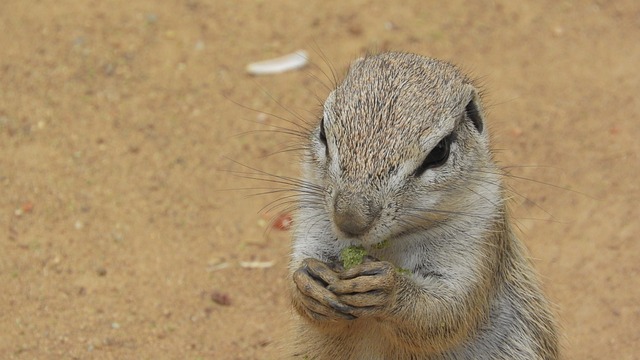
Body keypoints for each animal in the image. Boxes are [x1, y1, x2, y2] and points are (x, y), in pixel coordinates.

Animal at [288, 52, 556, 358]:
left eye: (439, 151)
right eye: (323, 129)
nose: (350, 221)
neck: (386, 244)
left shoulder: (479, 237)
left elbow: (446, 311)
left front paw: (387, 288)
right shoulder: (313, 215)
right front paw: (307, 282)